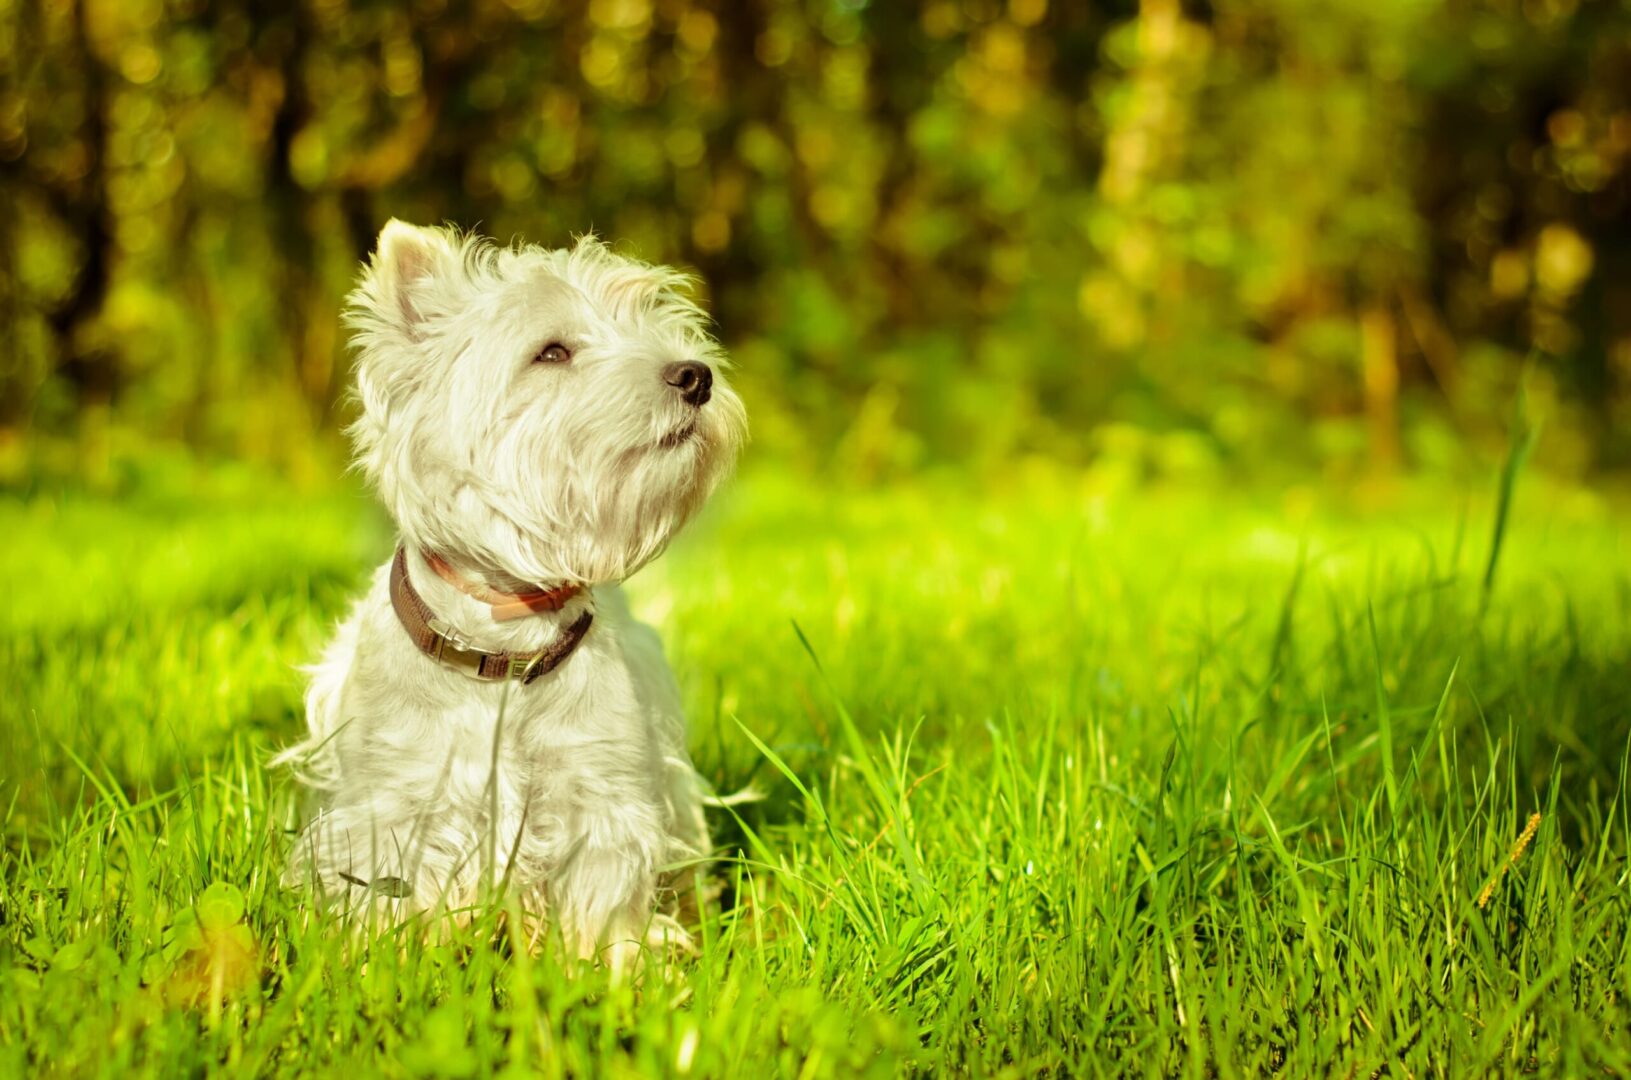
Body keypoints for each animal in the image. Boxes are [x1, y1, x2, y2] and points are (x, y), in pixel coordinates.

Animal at [274, 221, 746, 972]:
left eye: (650, 319)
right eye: (551, 352)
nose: (696, 374)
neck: (504, 643)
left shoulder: (600, 794)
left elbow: (604, 899)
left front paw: (617, 971)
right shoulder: (396, 803)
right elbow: (387, 898)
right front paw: (384, 968)